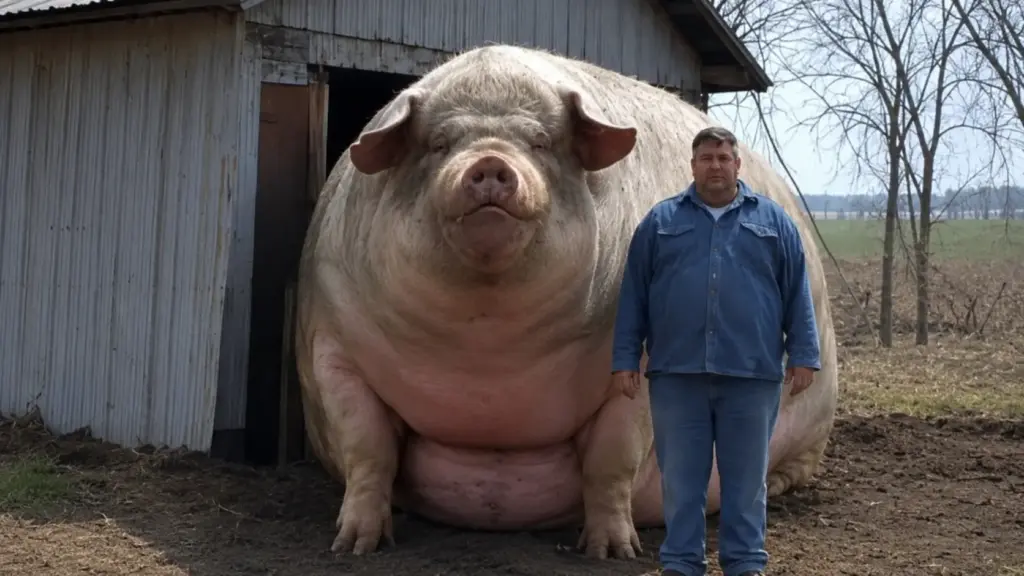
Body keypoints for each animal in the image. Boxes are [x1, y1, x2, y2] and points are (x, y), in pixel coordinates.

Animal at [294, 44, 839, 561]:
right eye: (439, 143)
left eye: (540, 142)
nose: (489, 162)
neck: (486, 350)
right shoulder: (332, 347)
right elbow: (369, 448)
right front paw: (353, 546)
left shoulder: (641, 367)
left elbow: (611, 459)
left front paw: (612, 552)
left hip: (817, 414)